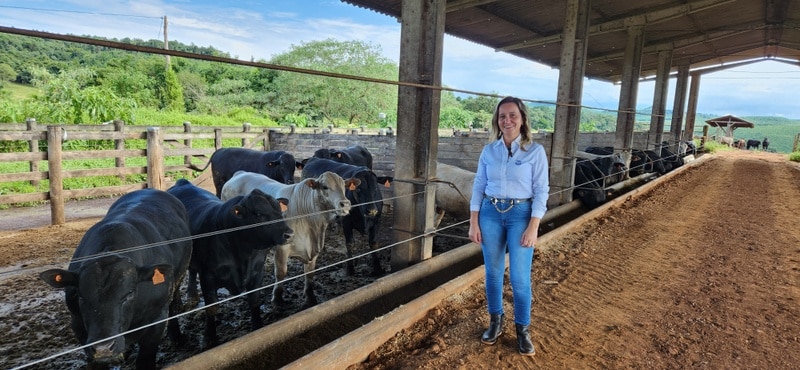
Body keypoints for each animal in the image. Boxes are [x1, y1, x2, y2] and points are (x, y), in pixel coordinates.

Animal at [40, 191, 192, 370]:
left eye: (129, 293)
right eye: (81, 296)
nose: (103, 348)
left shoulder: (157, 319)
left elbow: (145, 359)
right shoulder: (78, 325)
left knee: (174, 306)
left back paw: (177, 338)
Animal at [166, 178, 294, 346]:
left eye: (280, 211)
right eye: (258, 214)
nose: (288, 233)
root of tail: (182, 183)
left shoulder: (257, 271)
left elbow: (254, 300)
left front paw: (258, 326)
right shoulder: (208, 277)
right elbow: (211, 308)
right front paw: (209, 337)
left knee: (192, 271)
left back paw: (192, 295)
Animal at [219, 170, 356, 306]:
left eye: (344, 186)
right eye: (325, 187)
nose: (345, 204)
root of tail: (239, 174)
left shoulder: (314, 249)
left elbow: (309, 273)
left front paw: (310, 297)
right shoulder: (282, 247)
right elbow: (281, 272)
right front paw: (277, 298)